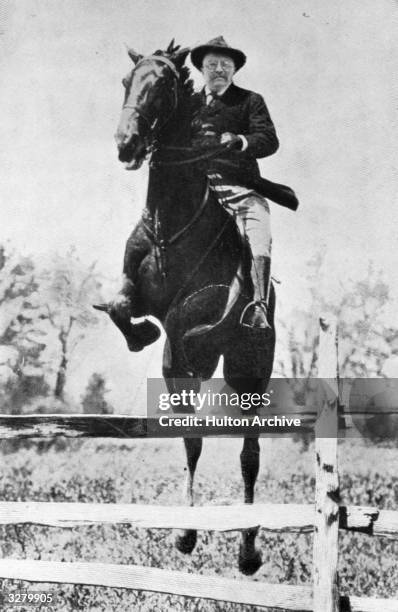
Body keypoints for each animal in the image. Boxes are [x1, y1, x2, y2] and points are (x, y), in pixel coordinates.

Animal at [98, 41, 276, 572]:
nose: (127, 144)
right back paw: (188, 532)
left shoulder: (207, 303)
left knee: (249, 453)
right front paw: (141, 334)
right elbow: (121, 306)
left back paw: (247, 549)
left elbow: (186, 318)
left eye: (162, 85)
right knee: (193, 438)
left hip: (250, 372)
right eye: (126, 82)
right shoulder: (135, 290)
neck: (170, 221)